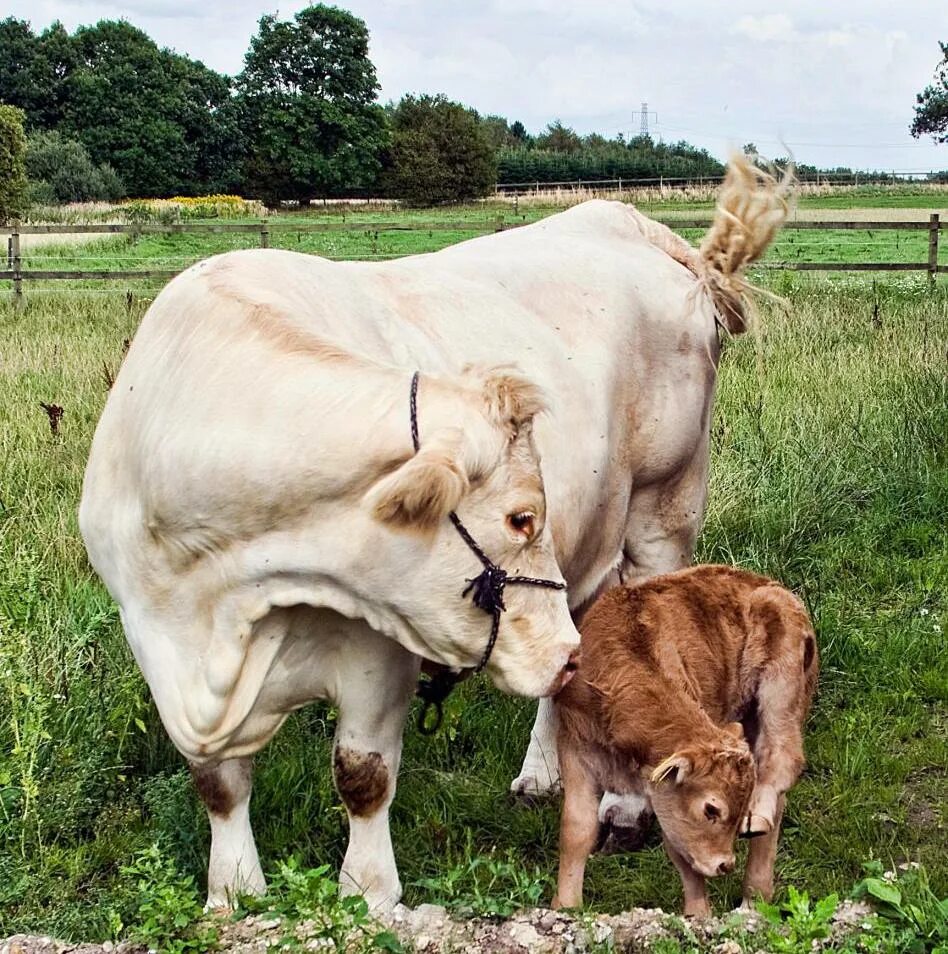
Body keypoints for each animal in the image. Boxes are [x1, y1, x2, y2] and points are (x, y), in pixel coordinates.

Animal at [79, 156, 784, 908]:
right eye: (522, 517)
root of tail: (633, 224)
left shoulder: (379, 644)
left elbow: (362, 774)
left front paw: (368, 894)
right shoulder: (157, 637)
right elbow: (218, 783)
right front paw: (233, 894)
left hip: (663, 511)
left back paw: (625, 807)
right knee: (584, 652)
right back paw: (545, 770)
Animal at [552, 564, 820, 916]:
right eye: (711, 808)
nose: (725, 865)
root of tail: (771, 586)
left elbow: (681, 853)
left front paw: (698, 916)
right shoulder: (577, 750)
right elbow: (578, 830)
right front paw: (564, 906)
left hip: (782, 691)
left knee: (782, 757)